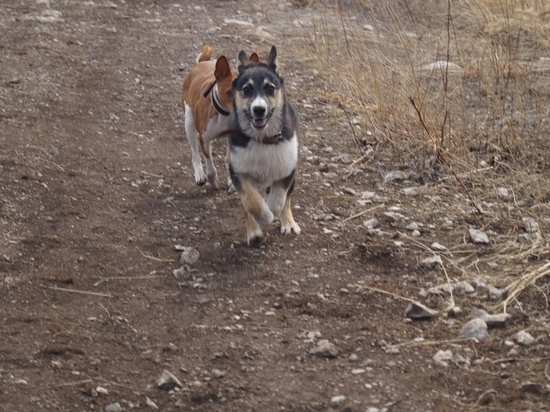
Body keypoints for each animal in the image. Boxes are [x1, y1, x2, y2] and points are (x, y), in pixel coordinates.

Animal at [181, 44, 237, 187]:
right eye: (229, 92)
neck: (225, 116)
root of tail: (202, 63)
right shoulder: (204, 139)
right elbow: (209, 163)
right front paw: (212, 179)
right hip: (189, 122)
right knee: (195, 154)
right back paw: (199, 174)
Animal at [226, 45, 302, 245]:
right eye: (246, 89)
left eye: (270, 88)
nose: (259, 110)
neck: (262, 139)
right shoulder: (238, 171)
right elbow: (251, 202)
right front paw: (262, 220)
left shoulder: (288, 169)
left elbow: (280, 199)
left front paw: (273, 211)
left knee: (287, 200)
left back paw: (288, 222)